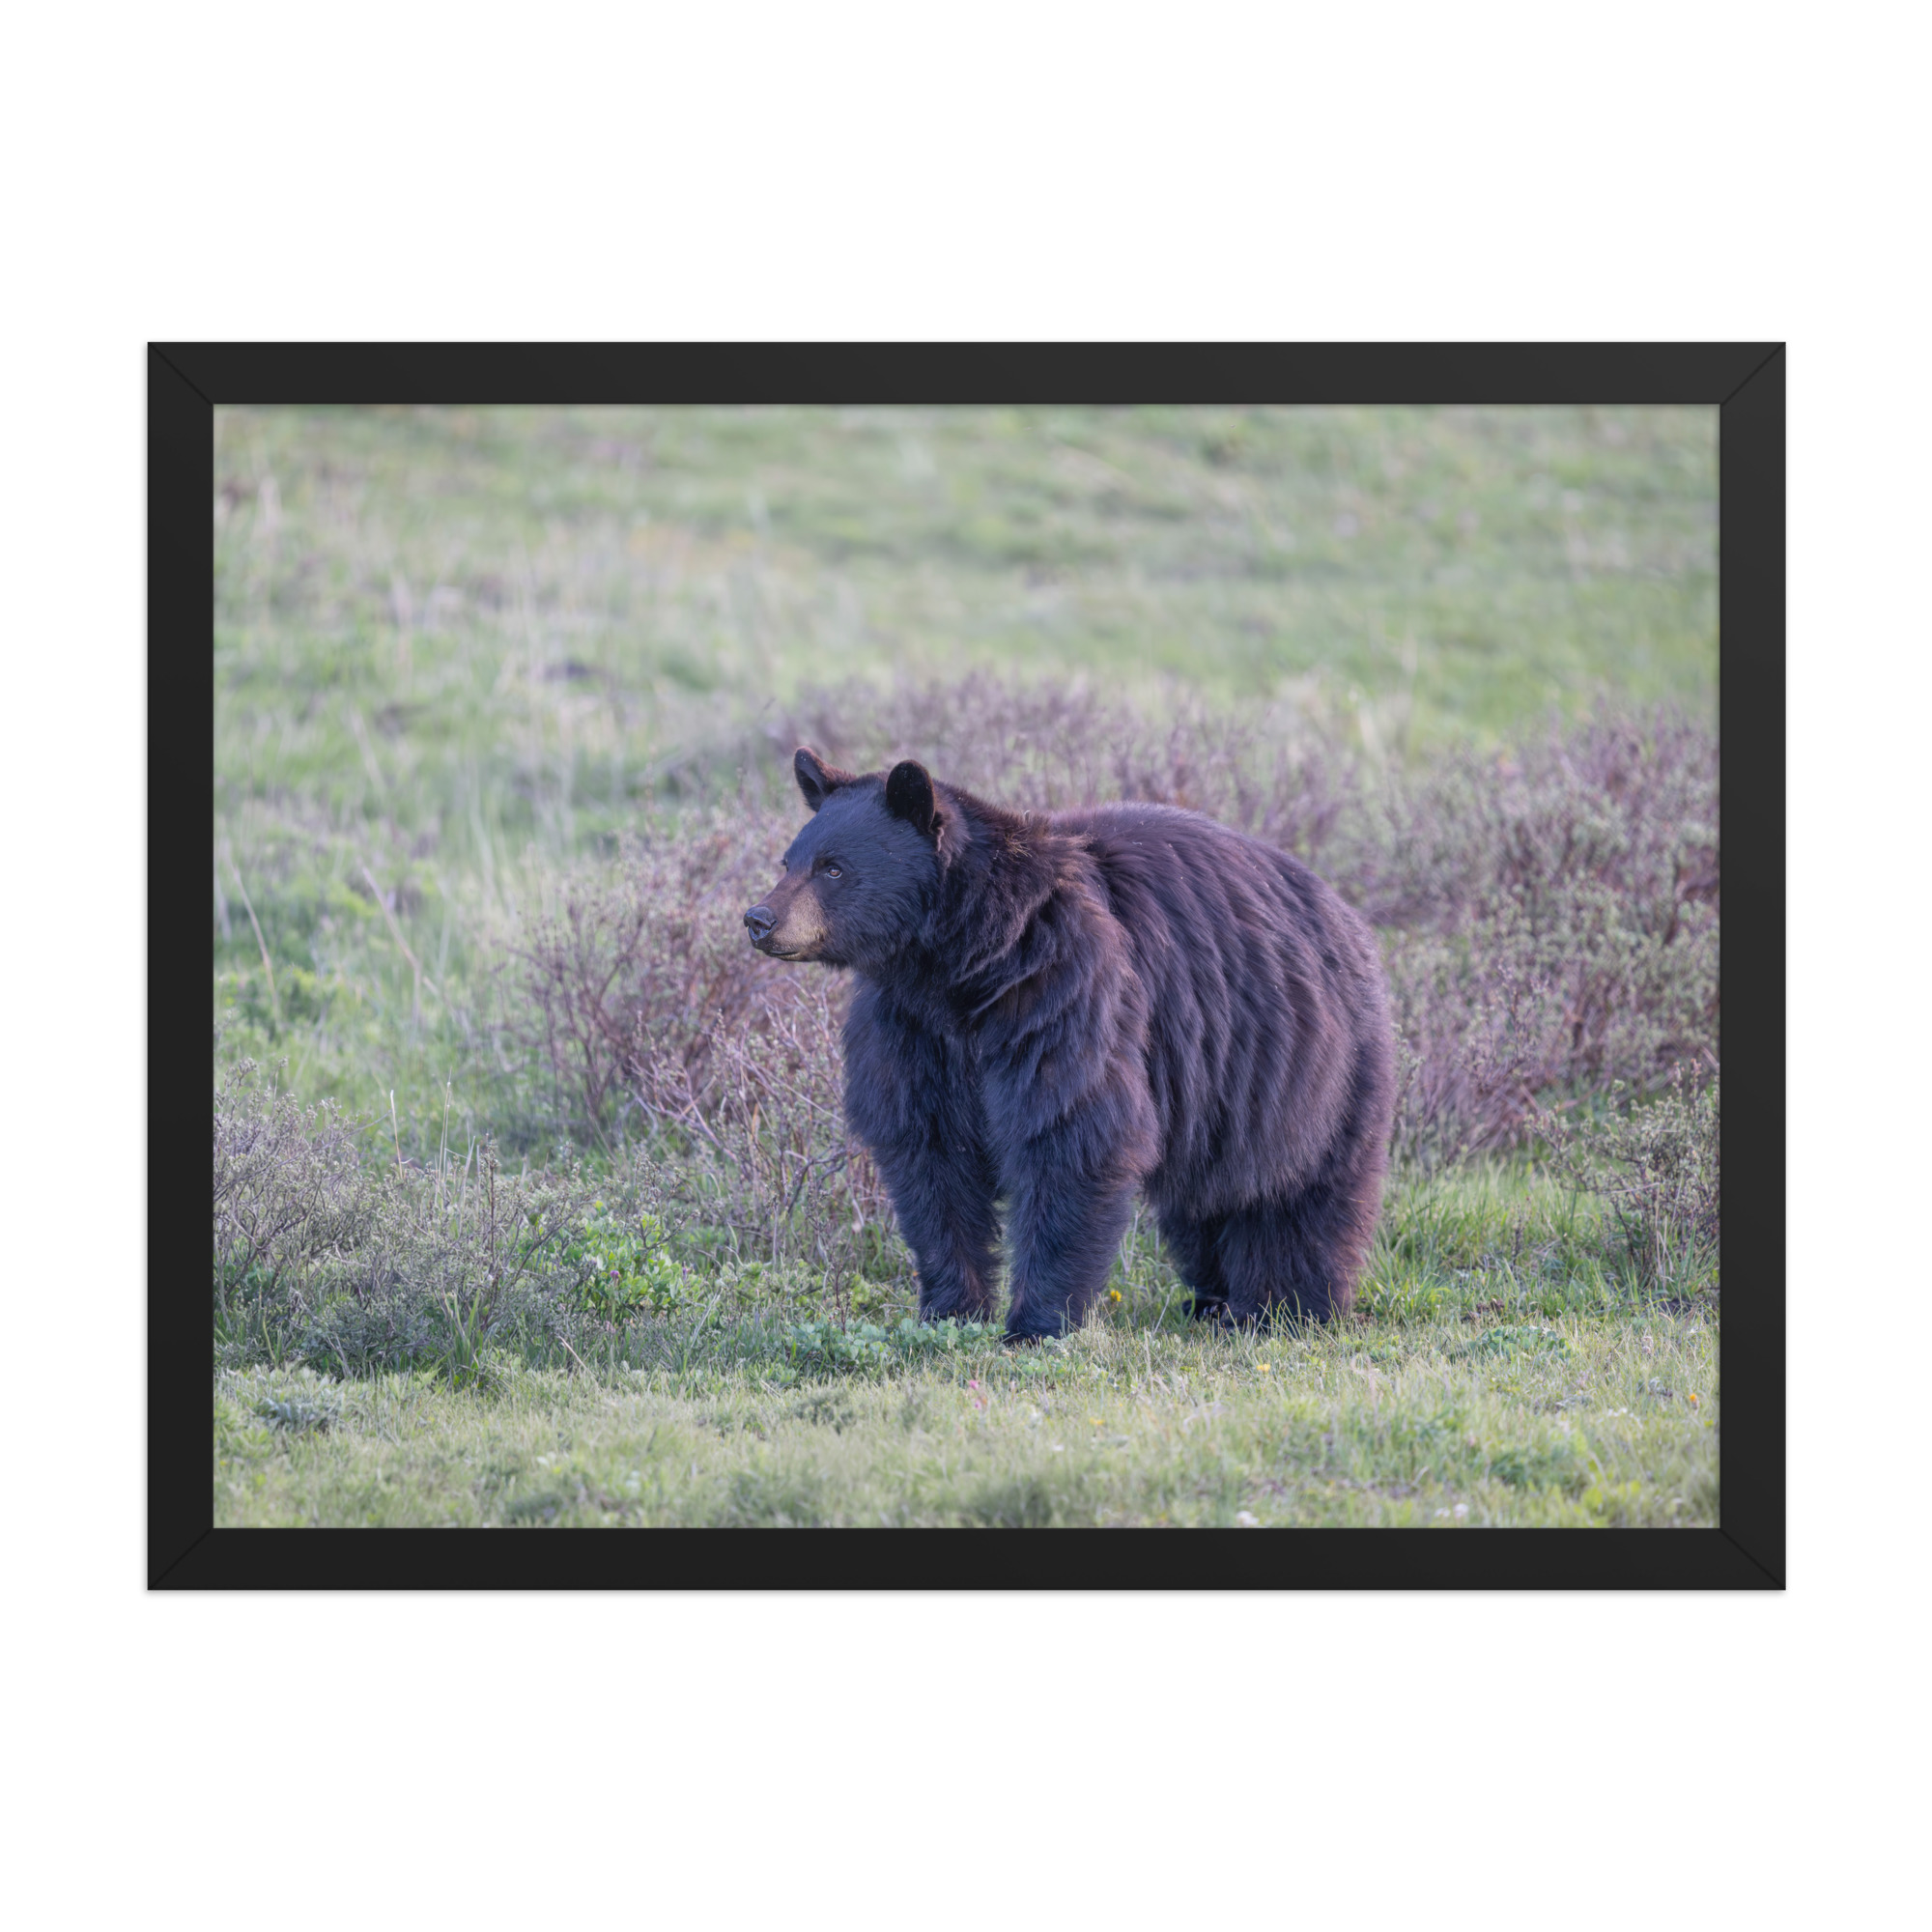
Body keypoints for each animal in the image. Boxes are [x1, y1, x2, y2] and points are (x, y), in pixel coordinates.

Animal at [744, 746, 1395, 1340]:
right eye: (788, 859)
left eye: (833, 868)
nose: (759, 918)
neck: (962, 964)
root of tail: (1346, 914)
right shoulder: (911, 1029)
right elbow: (929, 1155)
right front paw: (950, 1310)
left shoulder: (1062, 989)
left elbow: (1070, 1131)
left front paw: (1036, 1323)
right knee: (1206, 1199)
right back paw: (1212, 1300)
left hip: (1308, 1064)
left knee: (1300, 1192)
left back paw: (1284, 1307)